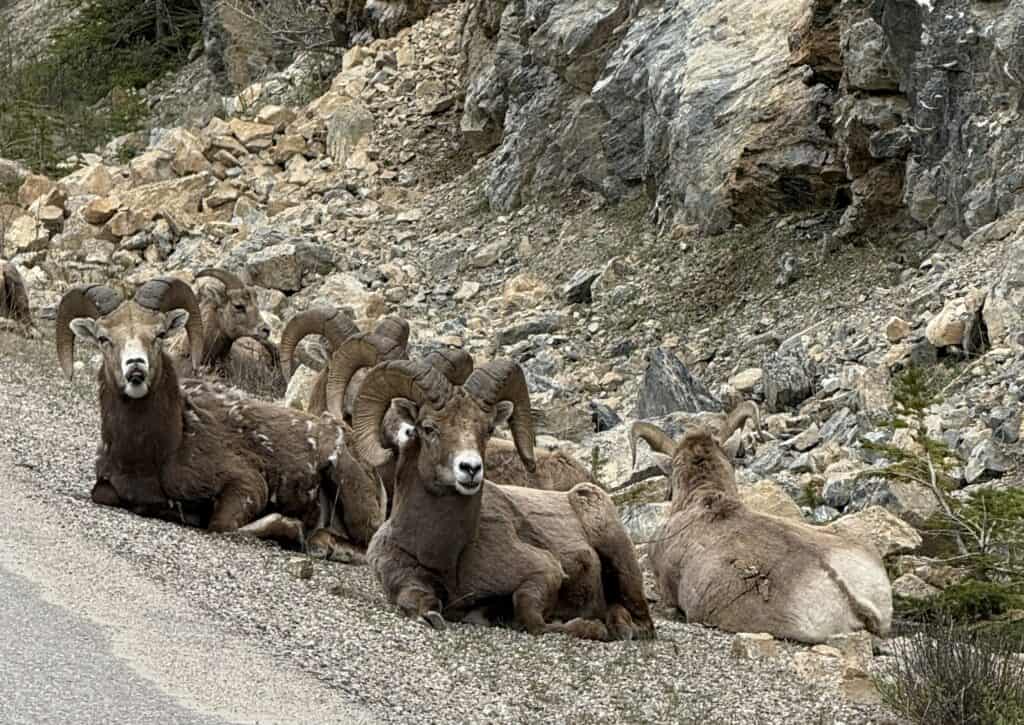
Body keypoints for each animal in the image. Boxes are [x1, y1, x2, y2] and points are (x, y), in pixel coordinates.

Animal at [57, 279, 385, 560]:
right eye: (104, 338)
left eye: (159, 334)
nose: (135, 369)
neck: (157, 453)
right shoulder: (107, 486)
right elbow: (103, 494)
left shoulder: (246, 486)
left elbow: (221, 524)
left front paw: (290, 528)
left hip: (344, 479)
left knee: (365, 543)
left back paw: (322, 543)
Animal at [351, 358, 655, 641]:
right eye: (428, 428)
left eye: (487, 429)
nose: (470, 468)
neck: (445, 555)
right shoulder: (403, 579)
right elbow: (417, 602)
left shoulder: (545, 572)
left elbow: (530, 616)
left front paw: (590, 626)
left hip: (618, 555)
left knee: (642, 622)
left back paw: (619, 627)